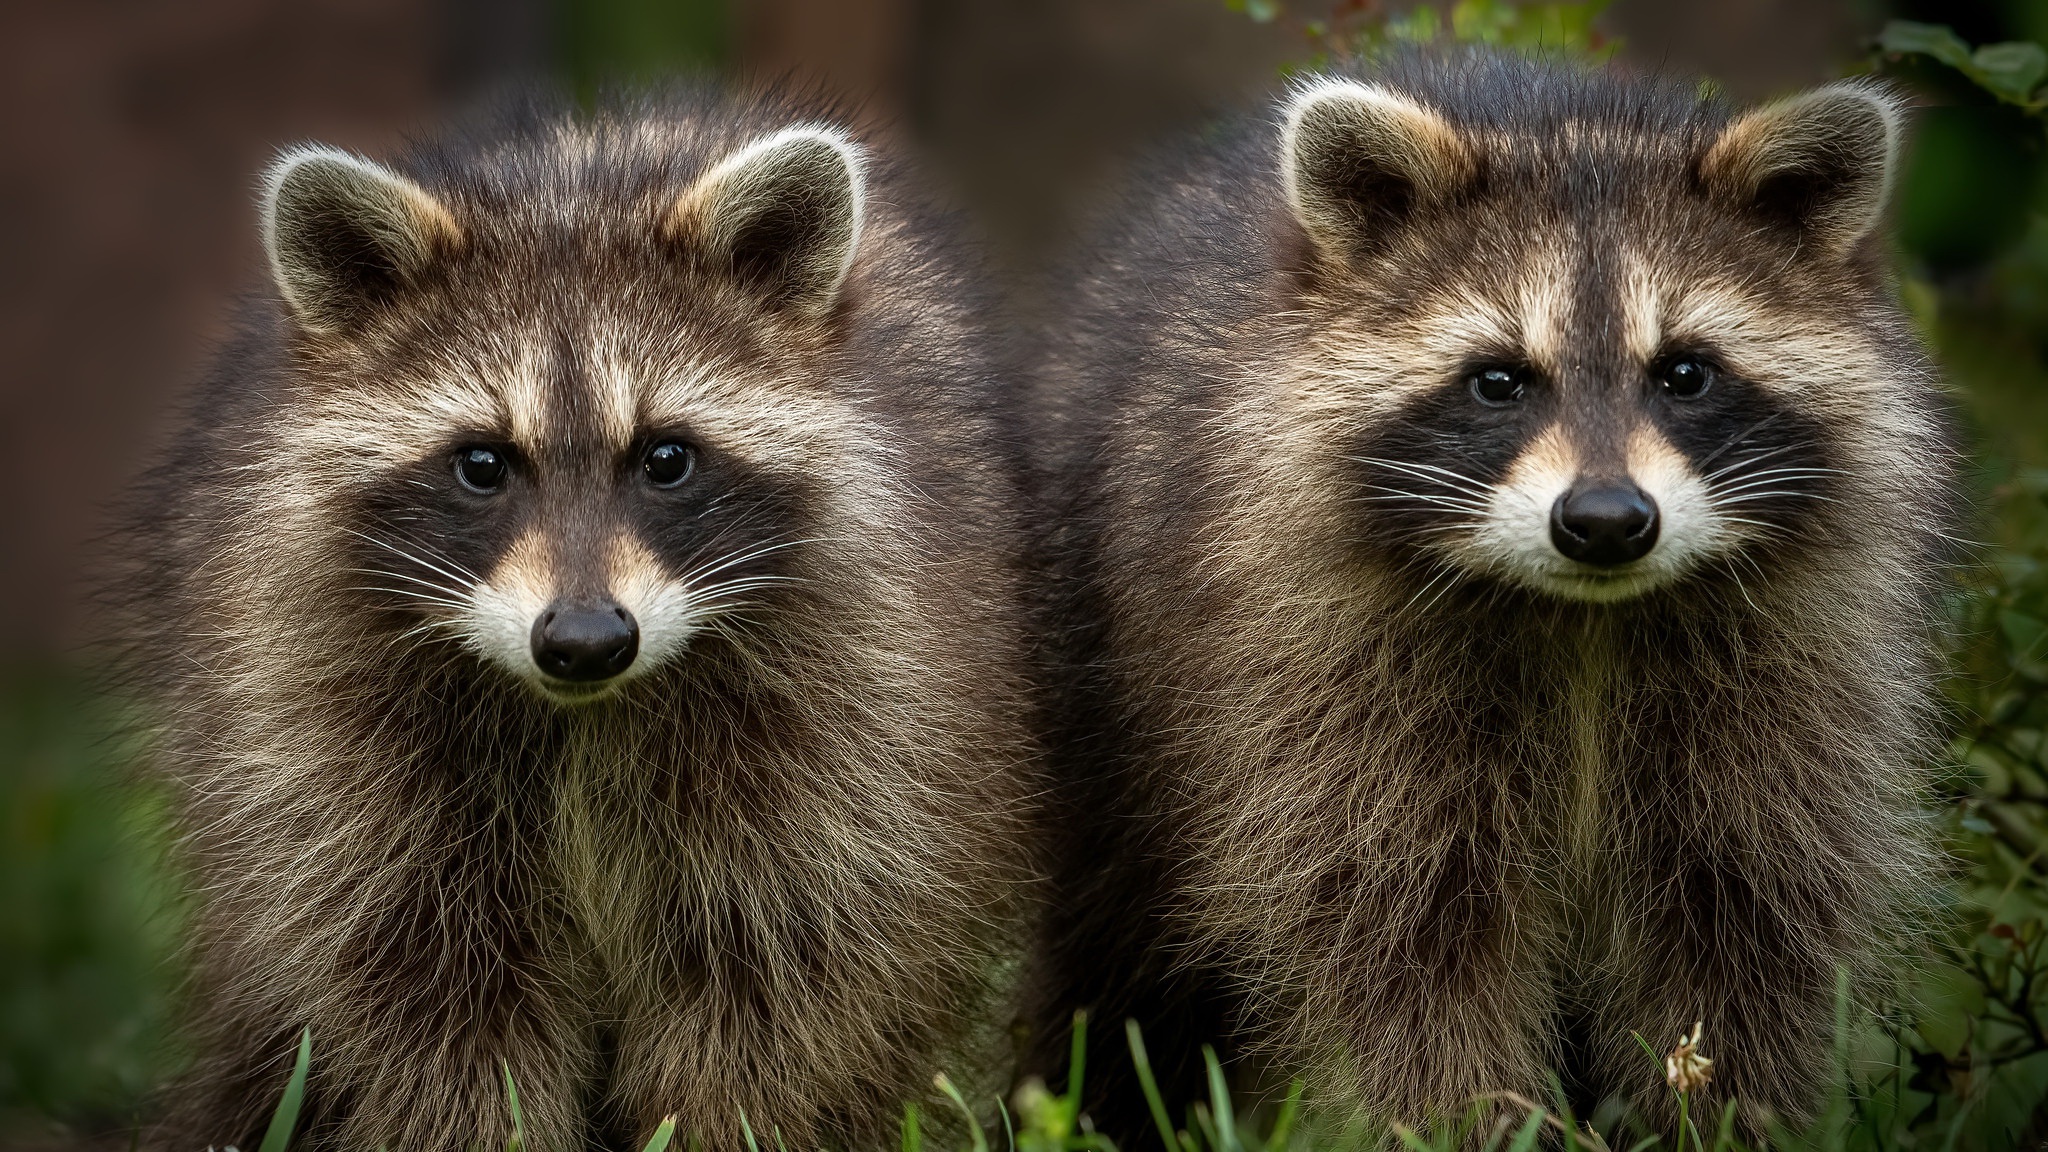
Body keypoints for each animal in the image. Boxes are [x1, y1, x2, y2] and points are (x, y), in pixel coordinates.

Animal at [116, 89, 1039, 1152]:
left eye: (666, 457)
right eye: (482, 464)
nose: (587, 642)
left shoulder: (864, 705)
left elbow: (790, 973)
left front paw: (718, 1125)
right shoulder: (323, 725)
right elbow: (416, 987)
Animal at [1027, 54, 1954, 1135]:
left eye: (1684, 372)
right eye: (1498, 381)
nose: (1605, 521)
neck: (1587, 618)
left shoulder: (1789, 685)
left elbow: (1742, 914)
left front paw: (1715, 1116)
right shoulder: (1321, 686)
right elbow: (1406, 934)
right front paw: (1463, 1122)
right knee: (1116, 957)